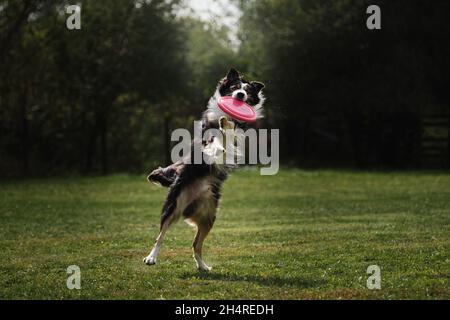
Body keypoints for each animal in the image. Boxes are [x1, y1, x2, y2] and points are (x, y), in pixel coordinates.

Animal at [143, 68, 264, 270]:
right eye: (235, 87)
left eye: (247, 91)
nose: (240, 95)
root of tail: (193, 199)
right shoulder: (207, 133)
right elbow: (216, 138)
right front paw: (218, 141)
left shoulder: (237, 134)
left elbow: (230, 133)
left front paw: (225, 129)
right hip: (174, 206)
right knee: (160, 237)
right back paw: (151, 258)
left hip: (209, 217)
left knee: (196, 244)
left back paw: (202, 266)